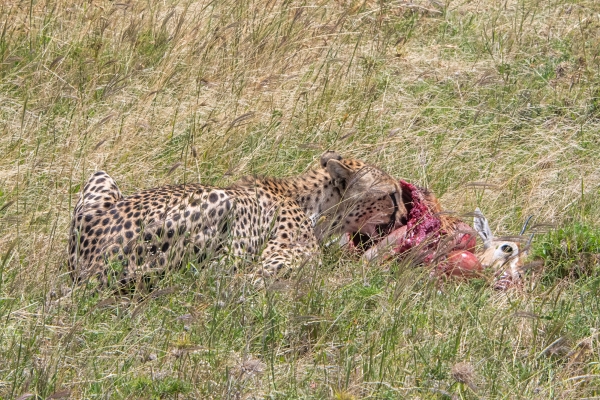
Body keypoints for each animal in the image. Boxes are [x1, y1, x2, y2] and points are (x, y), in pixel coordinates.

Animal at [69, 152, 408, 286]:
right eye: (392, 195)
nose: (406, 217)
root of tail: (88, 268)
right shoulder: (279, 257)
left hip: (100, 175)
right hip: (220, 200)